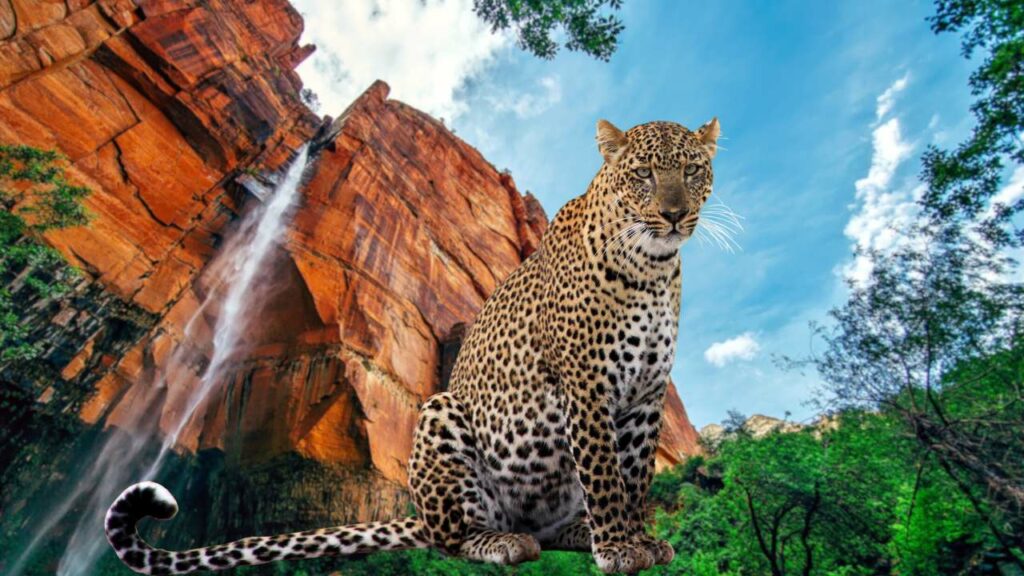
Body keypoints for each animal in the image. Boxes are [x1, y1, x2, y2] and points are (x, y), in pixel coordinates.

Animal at [104, 117, 722, 575]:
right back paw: (504, 542)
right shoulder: (585, 385)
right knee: (454, 536)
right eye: (643, 174)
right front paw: (617, 548)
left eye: (692, 170)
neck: (651, 268)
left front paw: (640, 540)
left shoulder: (645, 397)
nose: (674, 214)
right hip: (443, 417)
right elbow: (603, 473)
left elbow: (634, 476)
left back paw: (574, 530)